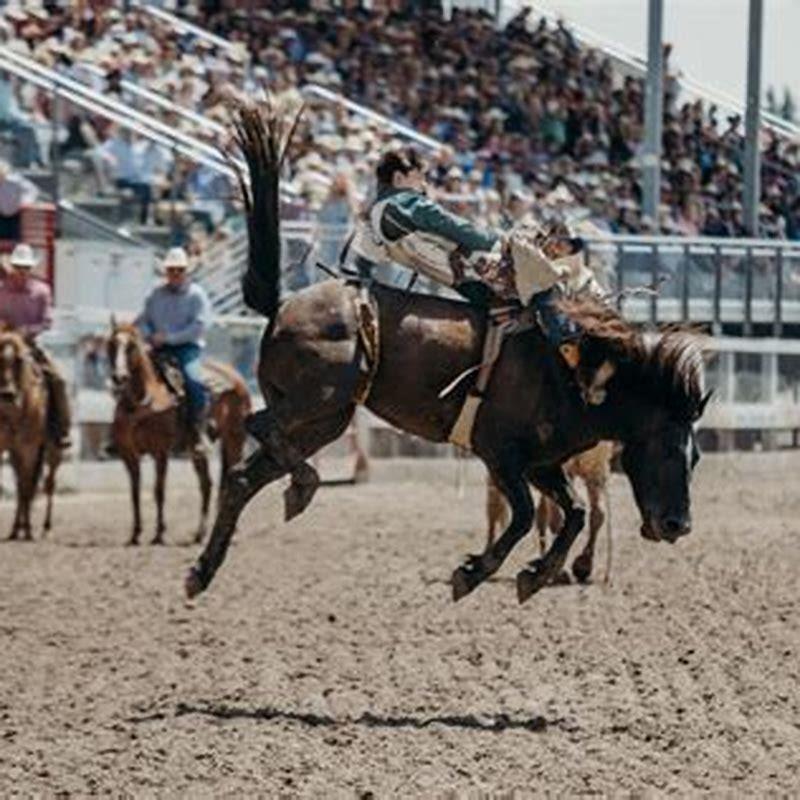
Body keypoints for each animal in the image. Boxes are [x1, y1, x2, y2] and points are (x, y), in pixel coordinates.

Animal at [0, 328, 62, 540]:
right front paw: (21, 528)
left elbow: (27, 487)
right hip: (16, 454)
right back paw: (14, 529)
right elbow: (22, 486)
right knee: (21, 485)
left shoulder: (29, 449)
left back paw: (45, 527)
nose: (7, 395)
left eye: (19, 360)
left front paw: (28, 530)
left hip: (53, 452)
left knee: (48, 484)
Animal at [107, 322, 250, 548]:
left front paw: (159, 534)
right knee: (206, 485)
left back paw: (231, 533)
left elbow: (159, 491)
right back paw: (200, 534)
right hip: (197, 451)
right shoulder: (128, 455)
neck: (141, 402)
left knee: (230, 480)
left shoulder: (161, 452)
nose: (118, 376)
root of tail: (236, 378)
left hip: (235, 439)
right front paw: (135, 534)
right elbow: (135, 493)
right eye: (111, 344)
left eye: (131, 347)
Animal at [184, 104, 708, 608]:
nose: (678, 526)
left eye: (696, 456)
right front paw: (473, 573)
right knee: (258, 425)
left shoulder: (540, 464)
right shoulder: (500, 453)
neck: (575, 372)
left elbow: (573, 513)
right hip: (317, 400)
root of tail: (282, 304)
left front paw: (535, 576)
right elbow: (523, 516)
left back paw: (203, 570)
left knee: (241, 475)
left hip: (325, 419)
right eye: (667, 446)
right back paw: (303, 485)